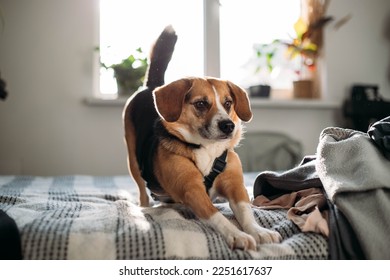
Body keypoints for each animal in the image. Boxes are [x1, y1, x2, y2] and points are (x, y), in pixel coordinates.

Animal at [123, 25, 278, 249]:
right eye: (201, 104)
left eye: (228, 103)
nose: (228, 125)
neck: (208, 148)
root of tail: (152, 86)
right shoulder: (192, 189)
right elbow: (217, 216)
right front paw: (236, 235)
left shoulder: (236, 186)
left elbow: (246, 212)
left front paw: (258, 231)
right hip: (132, 160)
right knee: (142, 190)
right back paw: (146, 206)